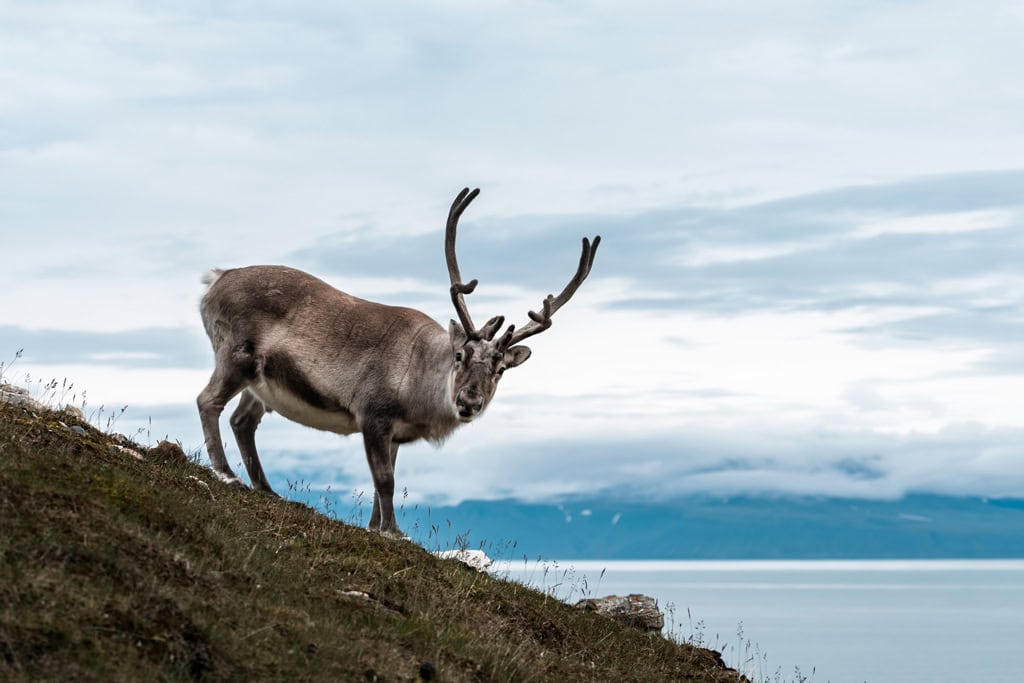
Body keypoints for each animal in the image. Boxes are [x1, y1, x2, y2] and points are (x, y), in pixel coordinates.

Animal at [197, 188, 600, 536]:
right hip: (235, 355)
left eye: (500, 370)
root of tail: (215, 279)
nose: (469, 402)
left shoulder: (395, 433)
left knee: (242, 421)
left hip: (261, 383)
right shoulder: (373, 416)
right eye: (460, 355)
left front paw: (377, 527)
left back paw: (266, 488)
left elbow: (383, 482)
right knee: (208, 401)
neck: (422, 386)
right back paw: (225, 472)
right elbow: (385, 481)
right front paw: (392, 531)